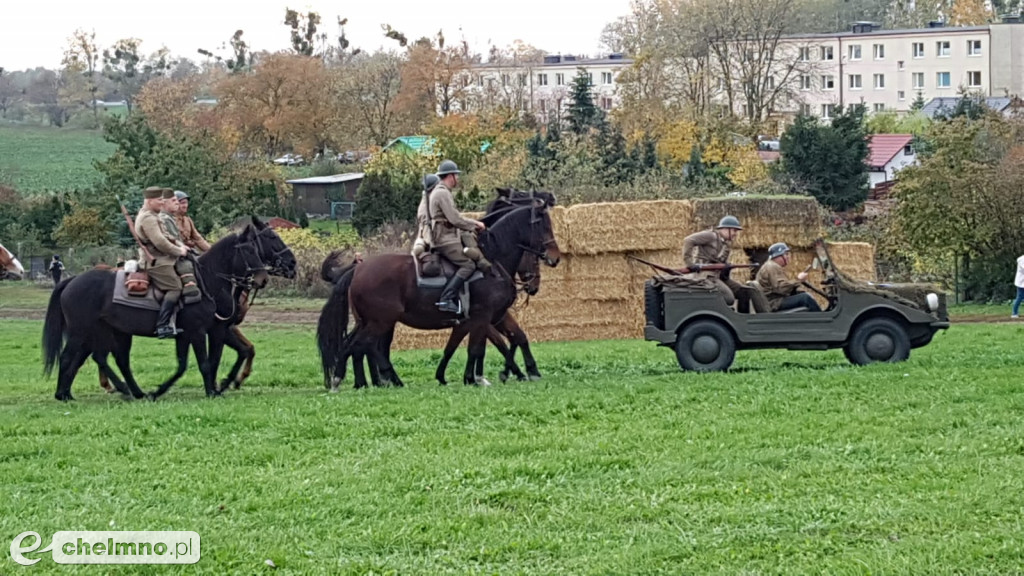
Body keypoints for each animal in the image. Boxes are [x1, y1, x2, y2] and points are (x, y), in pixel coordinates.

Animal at [41, 217, 294, 401]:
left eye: (257, 248)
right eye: (270, 237)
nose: (292, 263)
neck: (209, 281)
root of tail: (72, 281)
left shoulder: (198, 332)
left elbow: (195, 362)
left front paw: (210, 386)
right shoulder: (200, 331)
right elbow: (206, 361)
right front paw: (213, 390)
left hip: (110, 333)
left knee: (106, 359)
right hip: (84, 331)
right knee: (78, 357)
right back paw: (85, 392)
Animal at [317, 200, 561, 385]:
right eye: (543, 226)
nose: (555, 257)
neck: (492, 261)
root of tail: (358, 268)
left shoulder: (487, 318)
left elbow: (511, 338)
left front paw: (523, 371)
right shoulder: (482, 318)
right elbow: (481, 347)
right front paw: (477, 377)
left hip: (374, 322)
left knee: (363, 346)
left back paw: (372, 381)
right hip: (380, 322)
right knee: (360, 346)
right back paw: (351, 379)